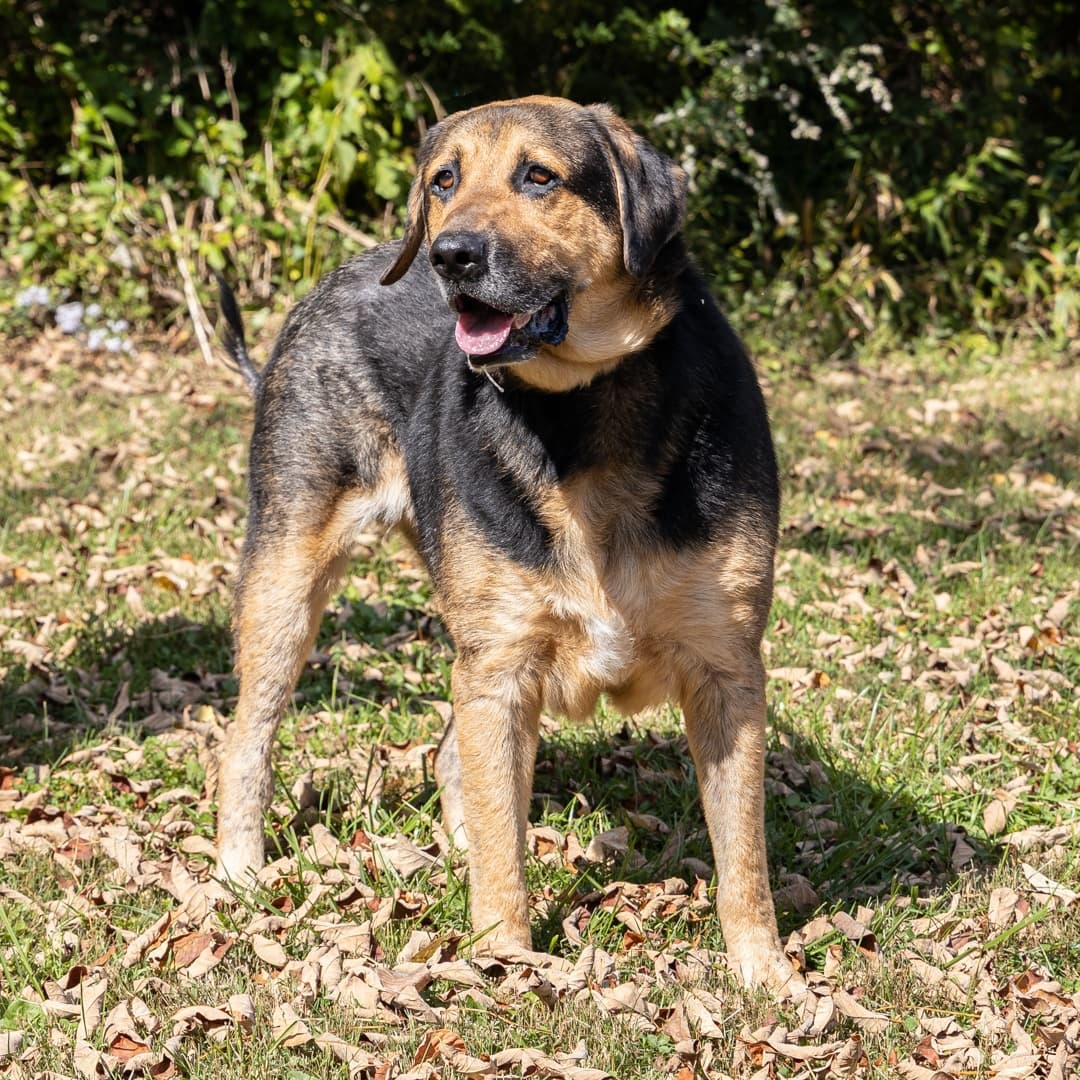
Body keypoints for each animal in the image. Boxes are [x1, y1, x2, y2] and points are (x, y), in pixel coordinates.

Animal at [214, 95, 803, 993]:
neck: (578, 418)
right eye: (442, 180)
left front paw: (763, 974)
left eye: (539, 177)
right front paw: (504, 960)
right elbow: (503, 845)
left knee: (455, 761)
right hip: (288, 580)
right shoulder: (499, 663)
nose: (451, 255)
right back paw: (239, 868)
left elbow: (744, 855)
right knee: (249, 735)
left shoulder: (726, 667)